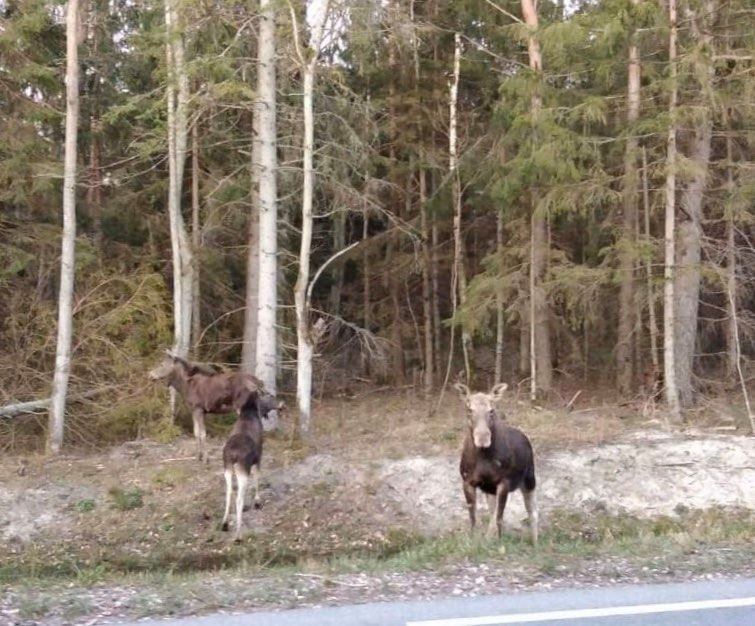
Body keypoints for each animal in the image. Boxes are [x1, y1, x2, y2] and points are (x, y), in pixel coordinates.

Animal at [454, 378, 536, 544]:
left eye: (491, 410)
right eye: (469, 409)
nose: (483, 438)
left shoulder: (504, 482)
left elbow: (497, 518)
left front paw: (496, 541)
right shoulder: (467, 481)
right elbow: (474, 518)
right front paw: (476, 539)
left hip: (529, 479)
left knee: (532, 512)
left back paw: (535, 542)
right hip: (489, 489)